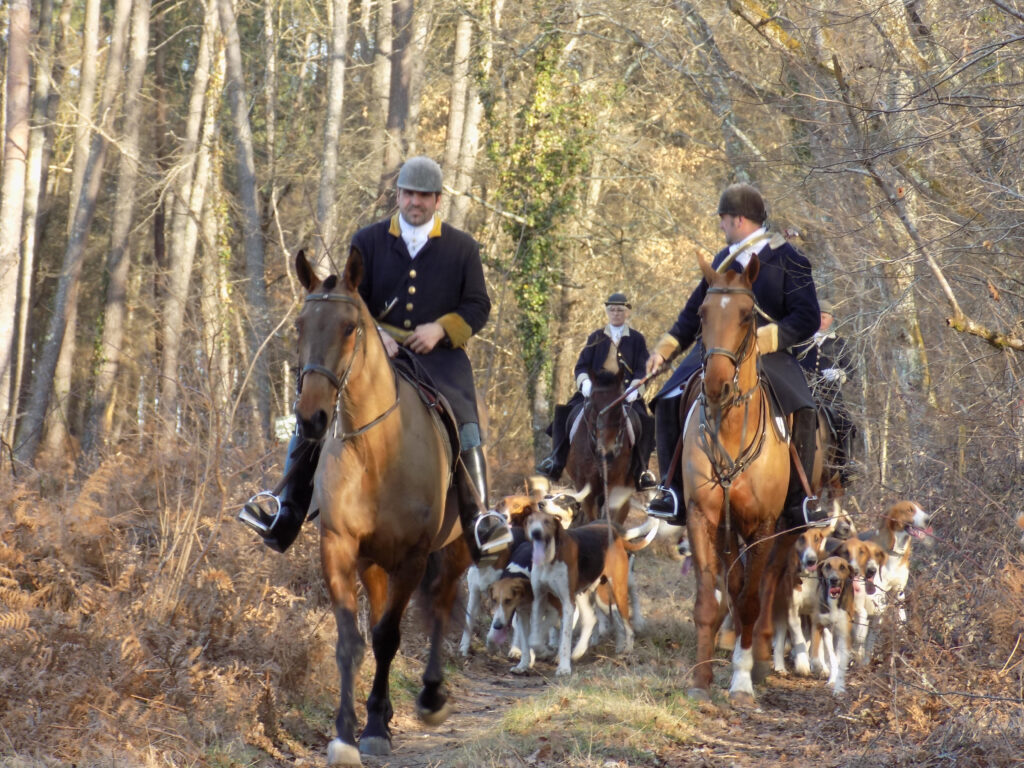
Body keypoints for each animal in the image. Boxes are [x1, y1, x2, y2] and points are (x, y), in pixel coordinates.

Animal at [290, 250, 473, 765]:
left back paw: (430, 696)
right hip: (373, 560)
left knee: (441, 604)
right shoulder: (339, 546)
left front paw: (372, 728)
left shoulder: (413, 556)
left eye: (350, 327)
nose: (311, 419)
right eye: (299, 325)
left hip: (454, 551)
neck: (375, 453)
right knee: (378, 617)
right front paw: (346, 734)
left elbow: (390, 636)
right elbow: (353, 640)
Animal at [565, 370, 634, 528]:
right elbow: (592, 518)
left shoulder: (615, 484)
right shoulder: (584, 486)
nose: (607, 453)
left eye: (618, 406)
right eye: (594, 405)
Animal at [679, 250, 798, 704]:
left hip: (788, 527)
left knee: (768, 585)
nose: (715, 385)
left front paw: (742, 679)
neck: (730, 427)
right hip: (729, 533)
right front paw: (700, 679)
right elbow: (708, 599)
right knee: (734, 584)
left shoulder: (764, 525)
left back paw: (760, 654)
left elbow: (750, 599)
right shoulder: (702, 517)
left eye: (748, 316)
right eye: (702, 312)